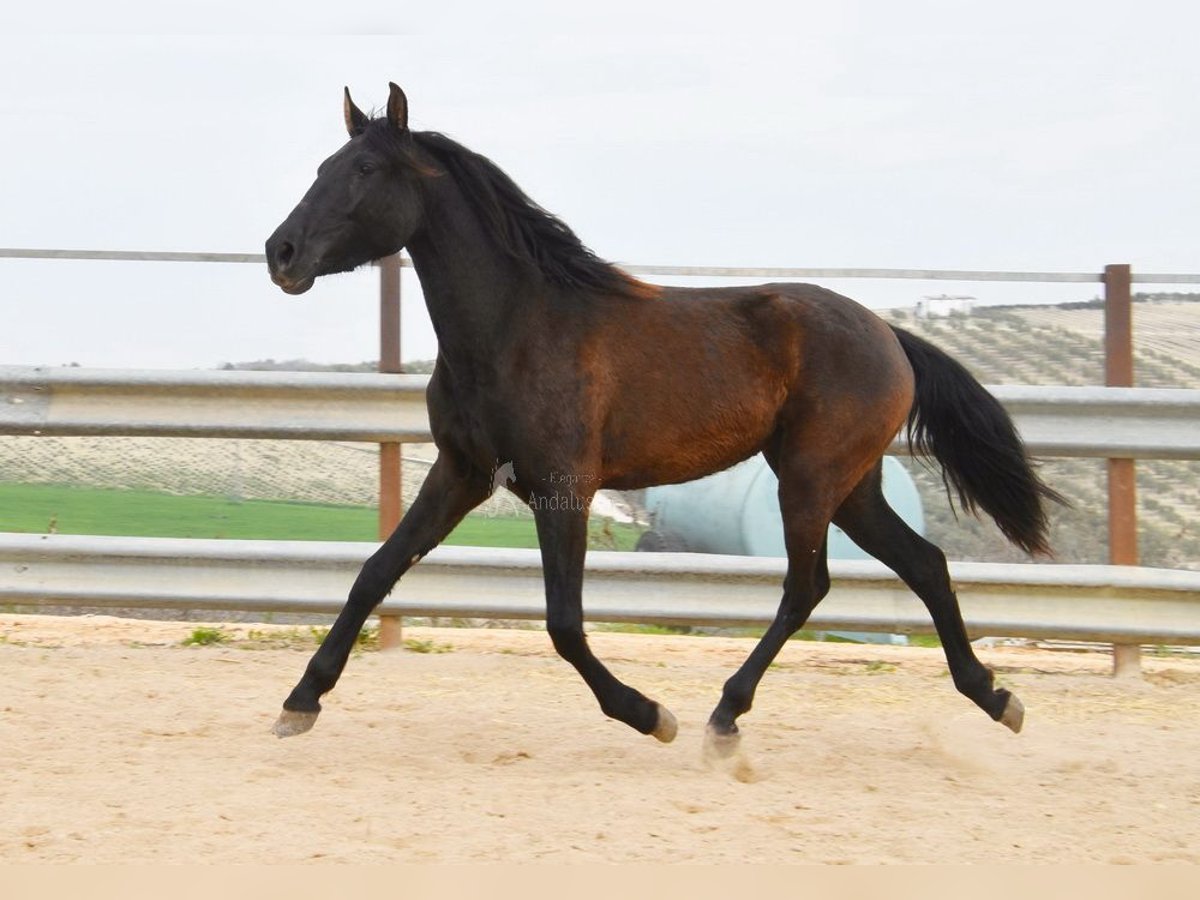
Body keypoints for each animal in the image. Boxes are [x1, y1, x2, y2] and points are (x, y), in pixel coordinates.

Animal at [267, 84, 1065, 758]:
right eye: (323, 165)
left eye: (364, 168)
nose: (281, 252)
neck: (516, 328)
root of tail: (889, 335)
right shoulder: (460, 473)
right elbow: (374, 572)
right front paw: (300, 701)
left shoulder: (563, 487)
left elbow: (564, 623)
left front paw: (650, 715)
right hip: (853, 486)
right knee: (925, 565)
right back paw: (996, 697)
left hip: (810, 481)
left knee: (808, 588)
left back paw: (724, 716)